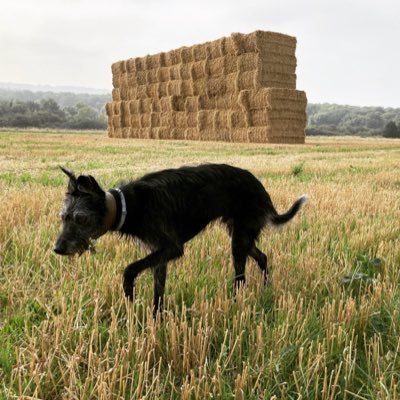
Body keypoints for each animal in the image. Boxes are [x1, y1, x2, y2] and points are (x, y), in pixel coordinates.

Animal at [54, 162, 306, 316]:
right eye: (63, 217)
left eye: (81, 218)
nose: (57, 249)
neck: (129, 205)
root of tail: (261, 188)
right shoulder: (160, 254)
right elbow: (158, 290)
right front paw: (156, 320)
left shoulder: (171, 247)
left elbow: (129, 269)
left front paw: (129, 295)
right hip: (240, 235)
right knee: (262, 257)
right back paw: (266, 289)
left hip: (239, 239)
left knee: (241, 277)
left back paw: (234, 303)